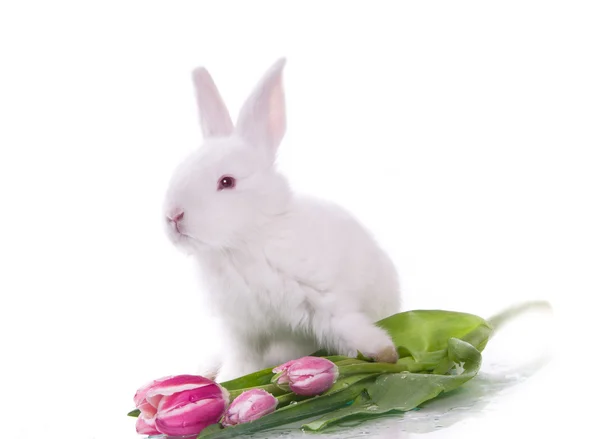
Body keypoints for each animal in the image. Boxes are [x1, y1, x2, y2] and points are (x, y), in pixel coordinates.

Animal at [162, 57, 400, 382]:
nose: (173, 215)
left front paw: (384, 353)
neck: (243, 246)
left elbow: (347, 325)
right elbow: (240, 361)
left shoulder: (321, 297)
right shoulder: (241, 330)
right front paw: (229, 381)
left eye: (226, 182)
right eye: (180, 169)